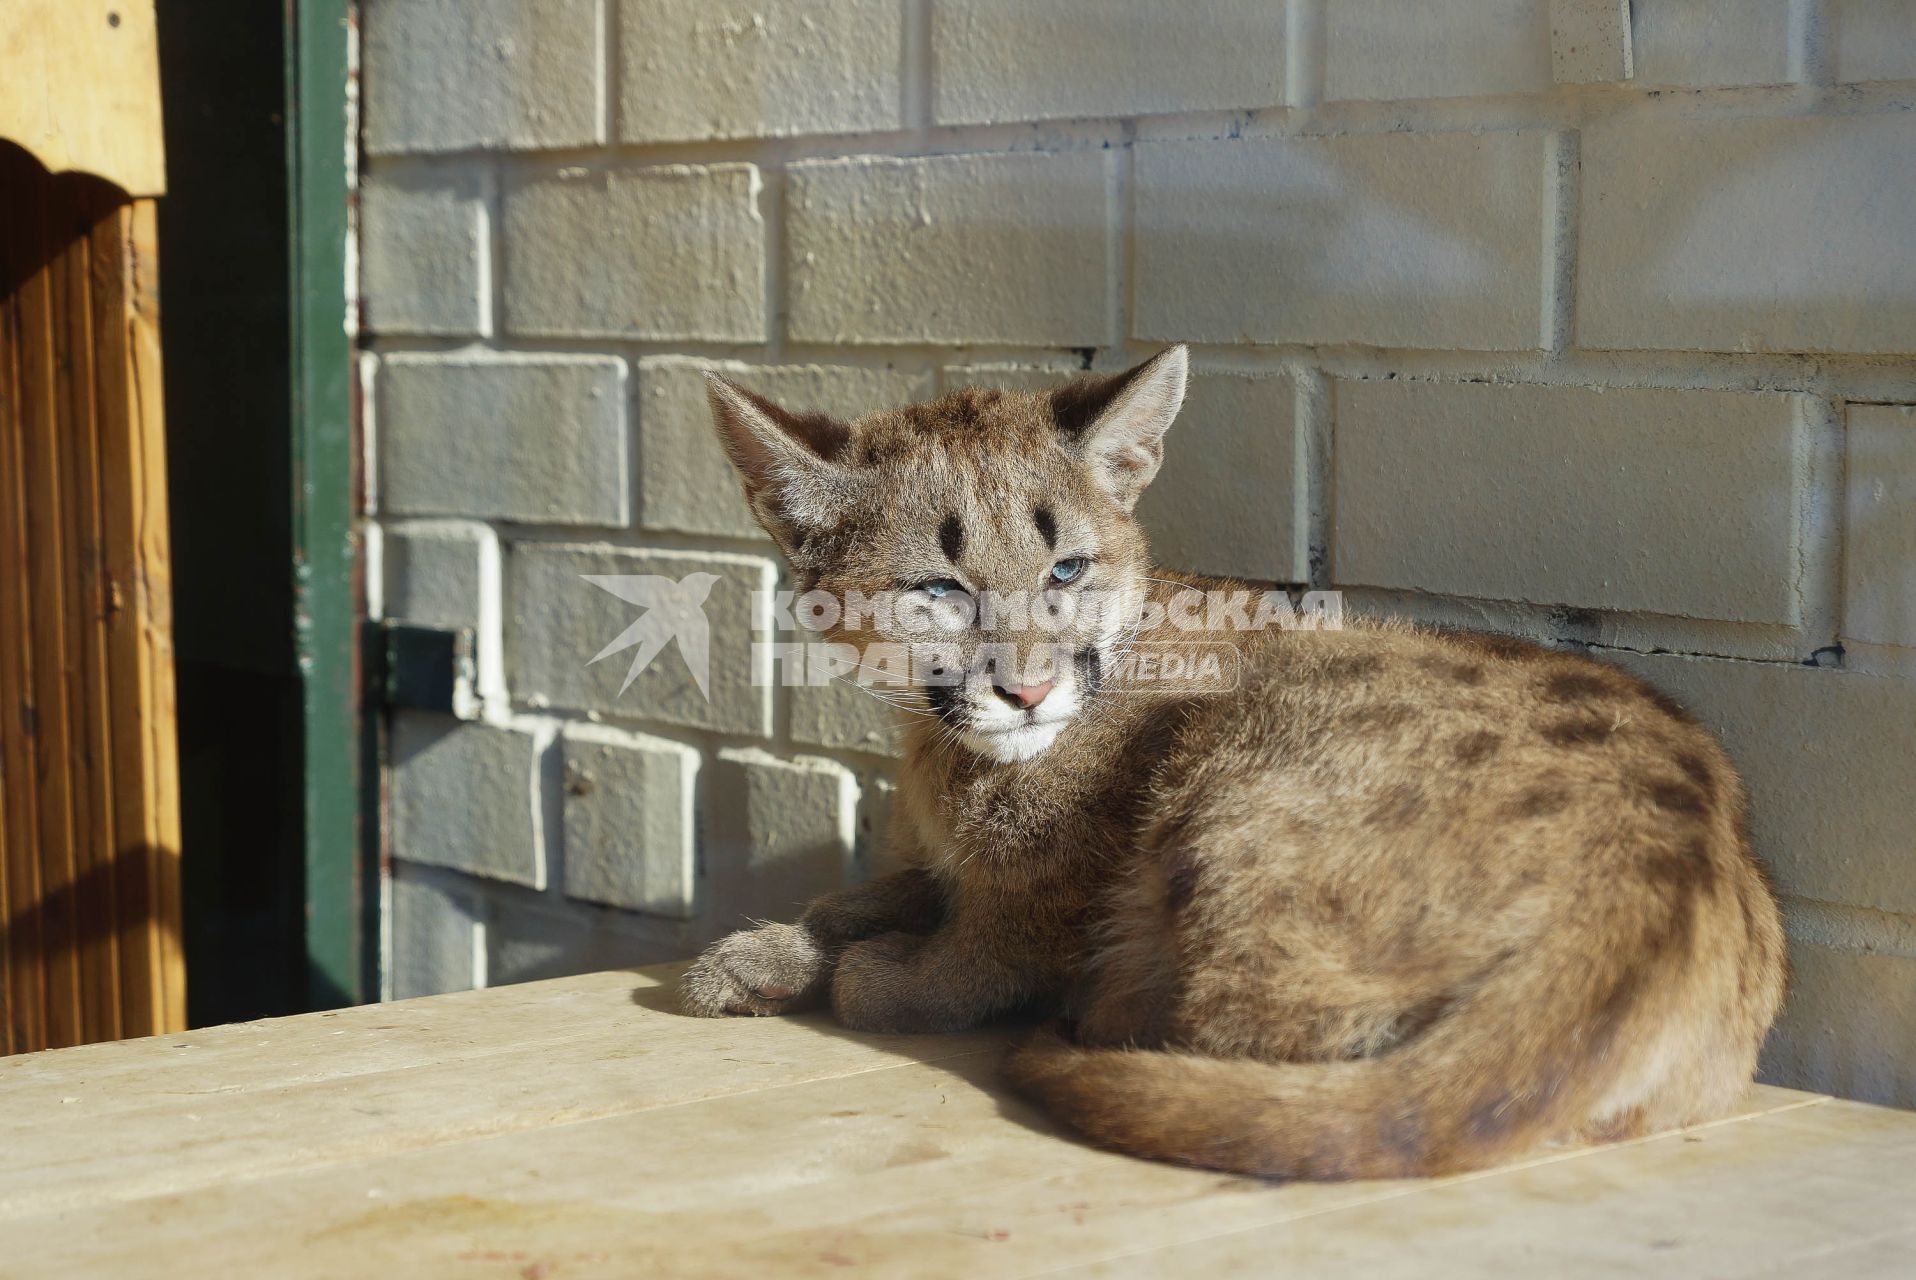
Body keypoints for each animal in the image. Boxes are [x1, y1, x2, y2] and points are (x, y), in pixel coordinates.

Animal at [682, 342, 1785, 1180]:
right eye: (939, 589)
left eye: (1066, 569)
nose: (1028, 691)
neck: (941, 748)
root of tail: (1654, 892)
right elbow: (870, 892)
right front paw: (761, 955)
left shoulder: (1042, 897)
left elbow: (971, 950)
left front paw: (862, 971)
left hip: (1240, 761)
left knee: (1266, 1050)